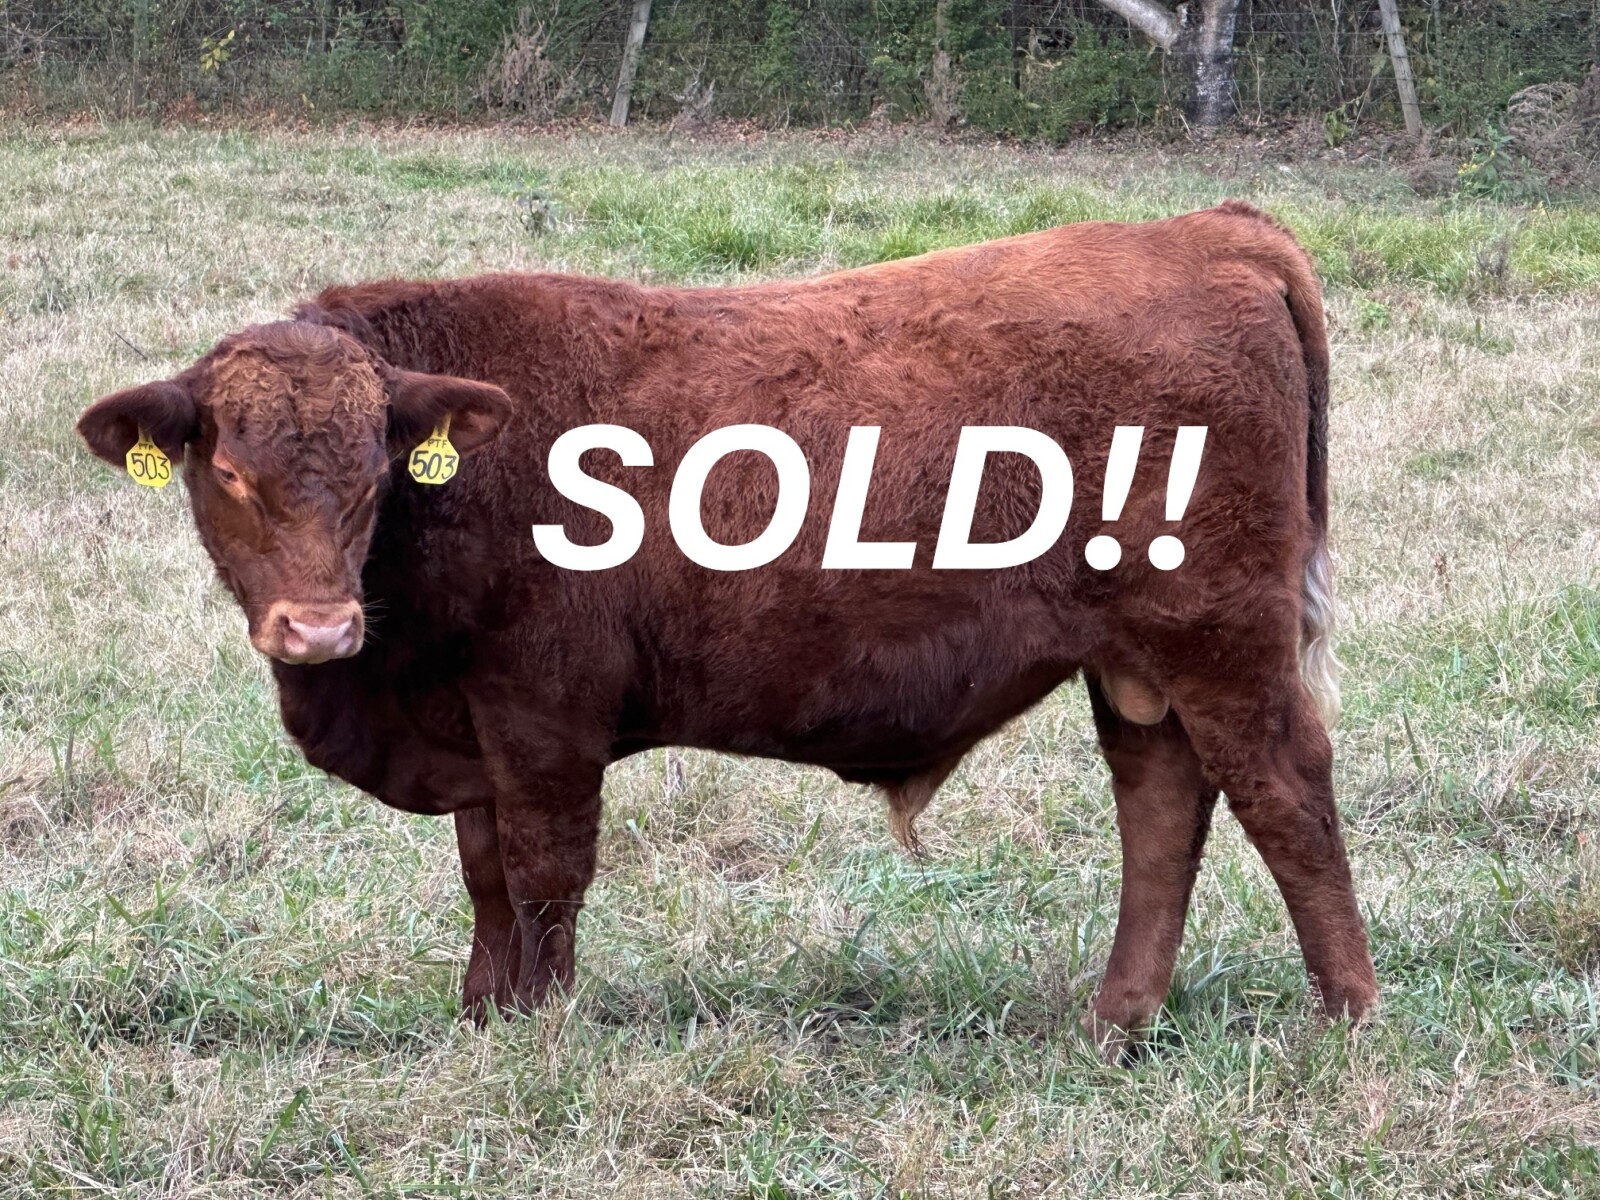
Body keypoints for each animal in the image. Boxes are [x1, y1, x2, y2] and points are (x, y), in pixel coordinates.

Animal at [77, 201, 1377, 1051]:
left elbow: (544, 875)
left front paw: (538, 1031)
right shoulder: (478, 729)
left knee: (1283, 795)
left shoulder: (544, 717)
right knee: (1162, 806)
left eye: (371, 472)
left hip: (1222, 642)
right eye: (227, 471)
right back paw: (1115, 1021)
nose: (317, 629)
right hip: (1137, 666)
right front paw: (484, 1015)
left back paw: (1347, 1019)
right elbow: (486, 875)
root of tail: (1210, 228)